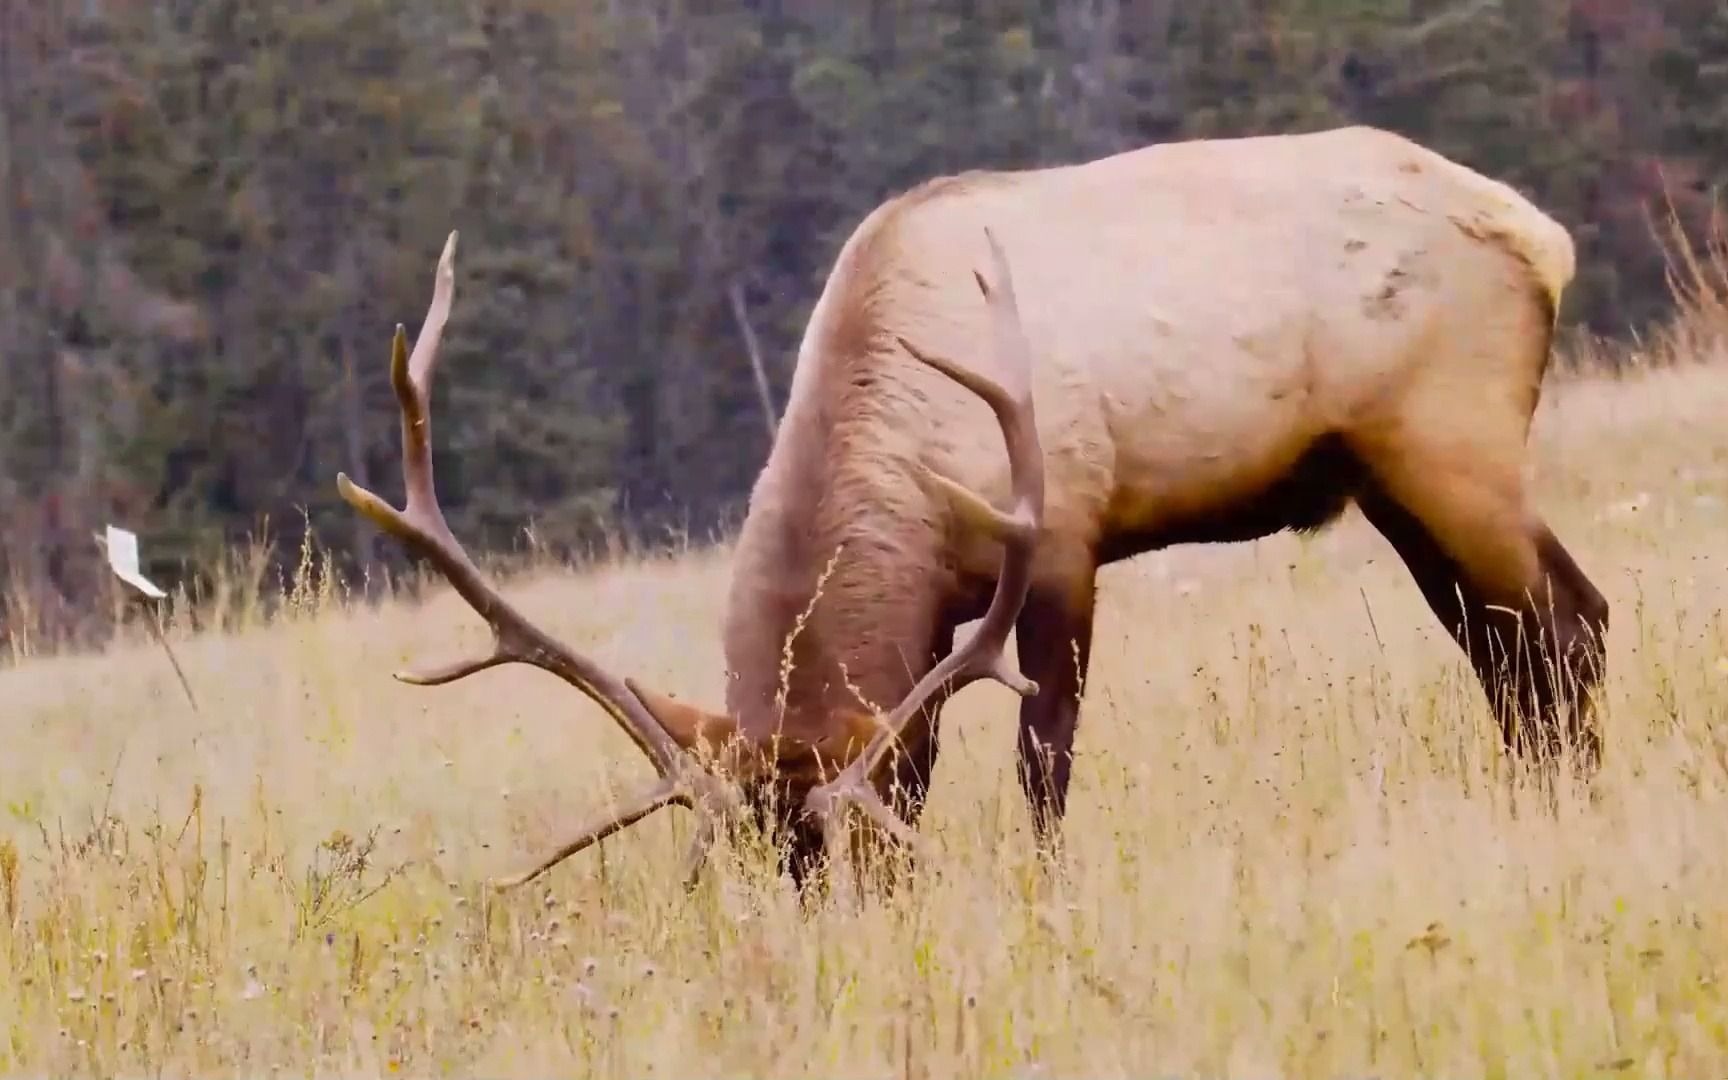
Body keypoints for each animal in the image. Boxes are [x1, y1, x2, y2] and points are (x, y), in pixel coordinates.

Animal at [343, 121, 1610, 891]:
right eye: (760, 861)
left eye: (853, 856)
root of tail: (1543, 235)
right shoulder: (942, 616)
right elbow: (937, 753)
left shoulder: (1057, 542)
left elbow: (1043, 764)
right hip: (1392, 479)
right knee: (1507, 648)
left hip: (1453, 442)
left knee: (1571, 622)